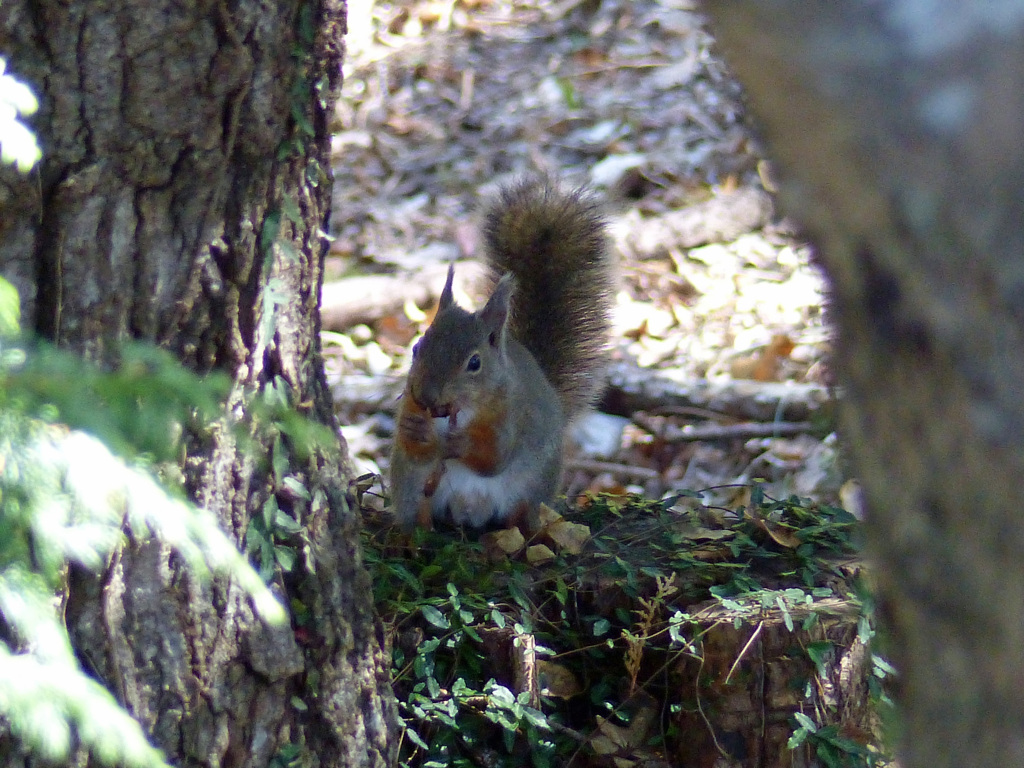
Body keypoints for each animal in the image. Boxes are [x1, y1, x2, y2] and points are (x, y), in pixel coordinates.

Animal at [387, 177, 610, 532]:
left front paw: (460, 444)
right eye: (417, 348)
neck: (461, 410)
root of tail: (469, 512)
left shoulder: (511, 416)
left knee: (522, 517)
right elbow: (415, 448)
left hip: (533, 489)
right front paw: (414, 429)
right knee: (417, 510)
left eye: (475, 363)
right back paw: (414, 535)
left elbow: (494, 459)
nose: (426, 396)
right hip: (410, 486)